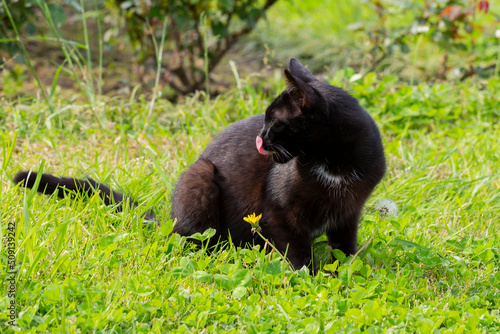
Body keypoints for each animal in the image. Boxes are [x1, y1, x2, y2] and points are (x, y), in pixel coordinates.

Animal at [13, 58, 384, 270]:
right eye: (264, 120)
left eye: (275, 122)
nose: (260, 137)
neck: (333, 164)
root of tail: (169, 218)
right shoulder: (277, 210)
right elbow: (297, 249)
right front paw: (308, 274)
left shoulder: (349, 212)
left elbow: (345, 248)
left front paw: (348, 270)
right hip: (200, 177)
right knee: (191, 240)